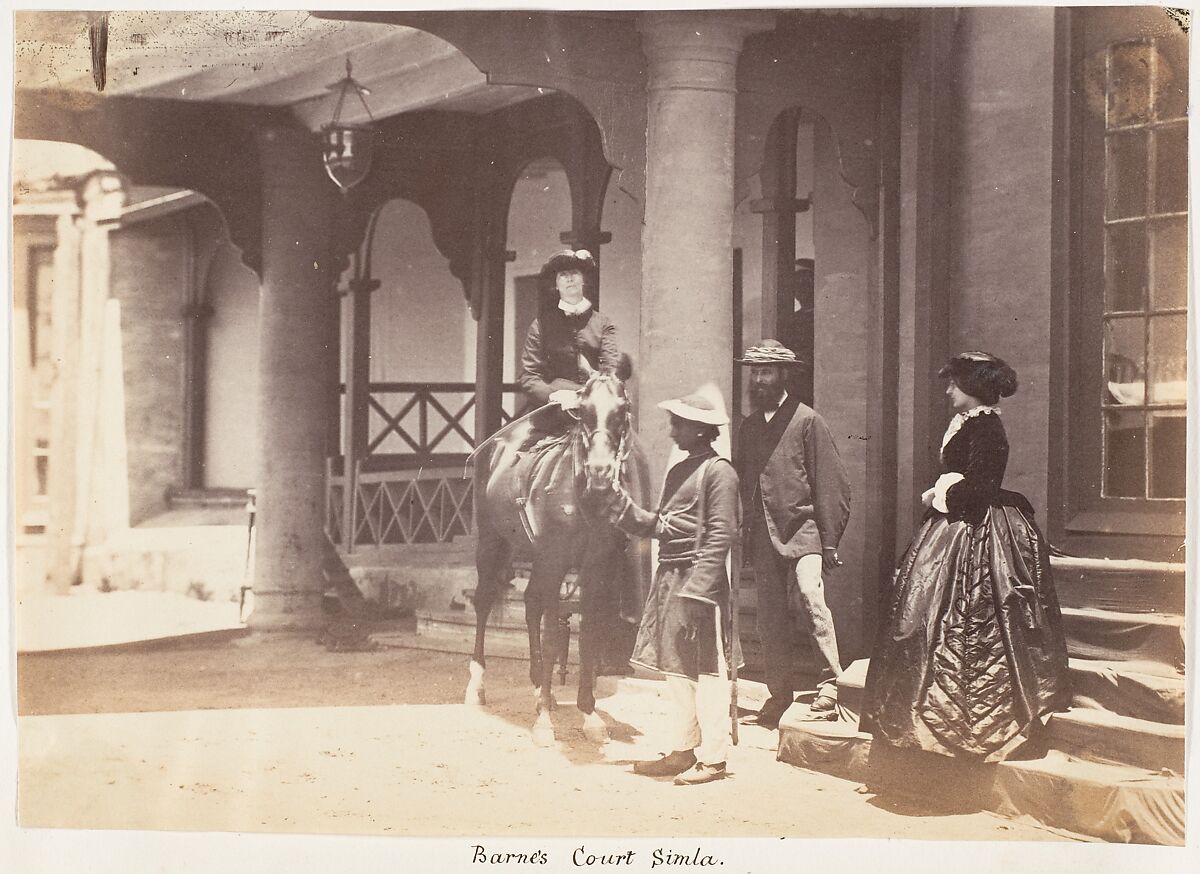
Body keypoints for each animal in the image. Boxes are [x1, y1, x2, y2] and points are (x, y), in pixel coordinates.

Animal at [463, 362, 648, 744]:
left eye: (622, 410)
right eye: (584, 410)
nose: (600, 471)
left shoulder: (595, 567)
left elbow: (588, 634)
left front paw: (589, 714)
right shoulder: (555, 560)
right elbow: (552, 638)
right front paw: (544, 723)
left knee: (531, 603)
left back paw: (539, 688)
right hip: (493, 543)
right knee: (485, 601)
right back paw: (478, 687)